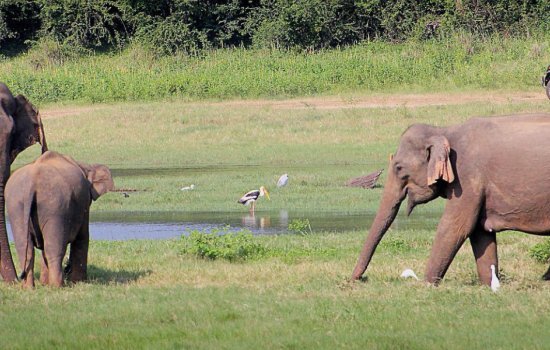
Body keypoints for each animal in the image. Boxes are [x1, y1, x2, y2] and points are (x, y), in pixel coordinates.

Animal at [5, 150, 114, 288]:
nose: (67, 268)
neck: (84, 166)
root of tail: (31, 183)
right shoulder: (84, 204)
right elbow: (83, 236)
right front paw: (78, 282)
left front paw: (45, 283)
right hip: (55, 206)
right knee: (54, 248)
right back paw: (57, 286)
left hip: (16, 205)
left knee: (26, 248)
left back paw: (29, 288)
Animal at [354, 113, 550, 286]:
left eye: (398, 167)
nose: (359, 279)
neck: (444, 131)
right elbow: (479, 231)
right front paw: (490, 285)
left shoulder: (467, 178)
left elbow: (456, 226)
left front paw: (426, 285)